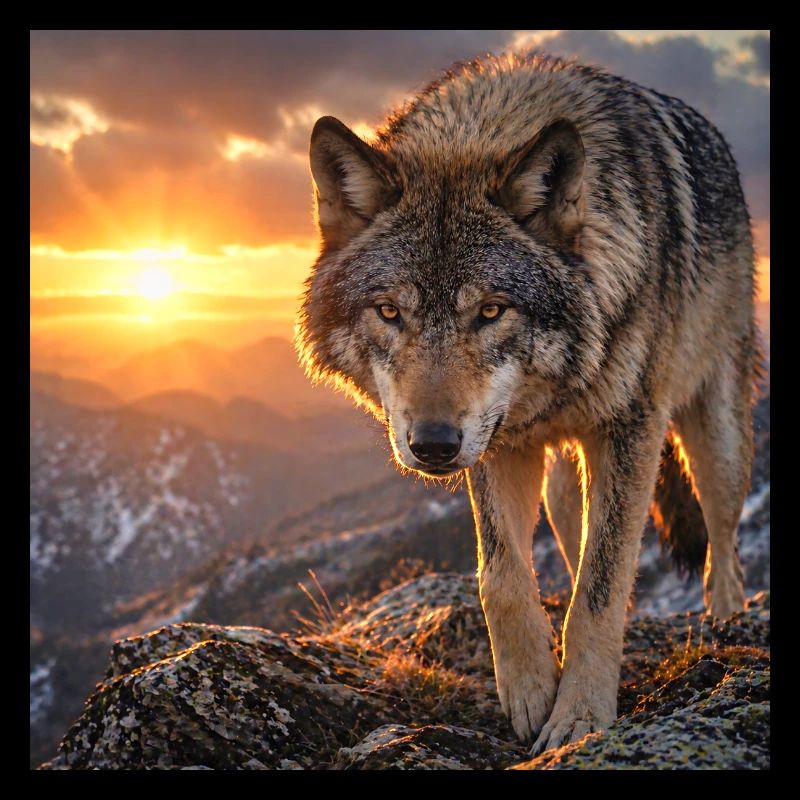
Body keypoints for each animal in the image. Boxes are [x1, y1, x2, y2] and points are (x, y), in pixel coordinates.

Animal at [296, 52, 757, 752]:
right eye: (389, 312)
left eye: (491, 311)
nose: (433, 445)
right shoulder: (496, 441)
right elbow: (503, 576)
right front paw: (532, 688)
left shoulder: (631, 429)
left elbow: (599, 590)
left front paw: (580, 716)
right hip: (567, 489)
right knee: (576, 539)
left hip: (714, 441)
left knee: (722, 546)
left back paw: (725, 629)